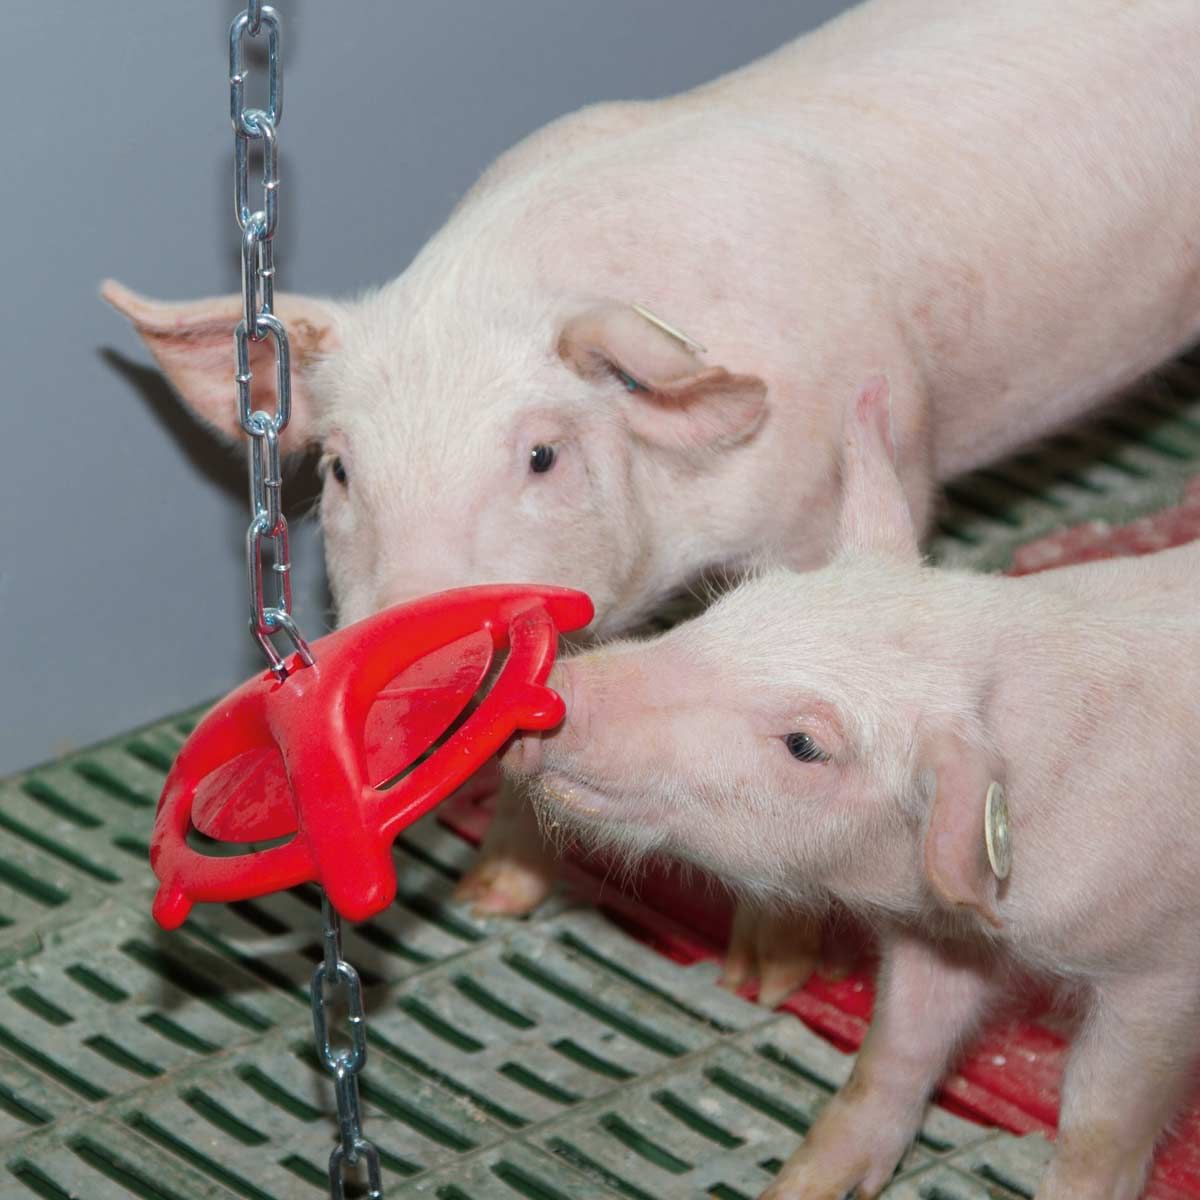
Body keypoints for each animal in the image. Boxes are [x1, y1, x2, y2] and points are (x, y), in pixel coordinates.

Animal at [104, 0, 1200, 1004]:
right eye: (336, 468)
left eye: (543, 455)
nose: (407, 661)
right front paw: (487, 898)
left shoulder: (834, 517)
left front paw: (762, 982)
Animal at [508, 376, 1200, 1200]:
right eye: (727, 608)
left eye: (805, 745)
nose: (554, 689)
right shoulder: (944, 932)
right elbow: (893, 1051)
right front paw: (797, 1187)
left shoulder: (1162, 975)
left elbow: (1101, 1125)